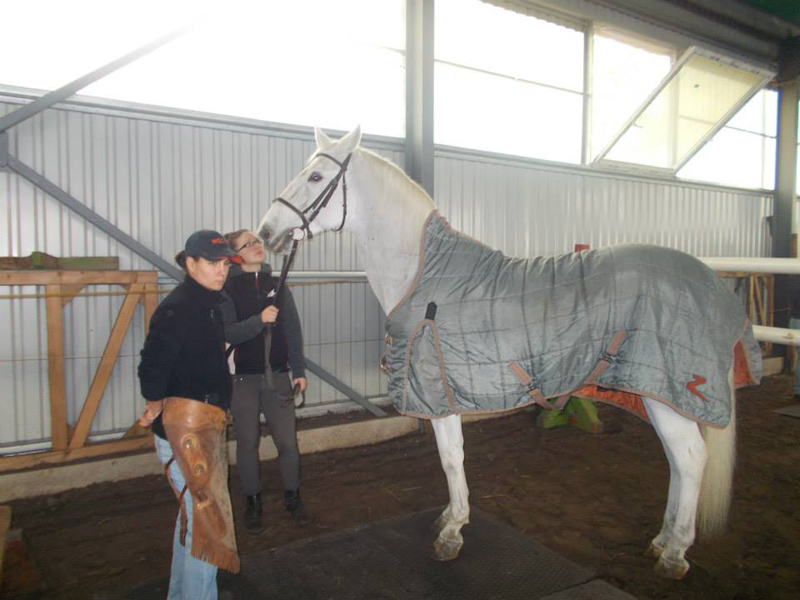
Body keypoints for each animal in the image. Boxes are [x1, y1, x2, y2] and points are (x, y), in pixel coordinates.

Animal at [257, 126, 762, 580]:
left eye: (316, 177)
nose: (266, 231)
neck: (425, 275)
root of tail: (714, 284)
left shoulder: (440, 393)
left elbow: (451, 457)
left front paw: (453, 532)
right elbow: (451, 456)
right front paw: (449, 518)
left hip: (670, 391)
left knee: (692, 458)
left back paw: (675, 553)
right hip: (652, 390)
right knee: (678, 460)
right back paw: (661, 541)